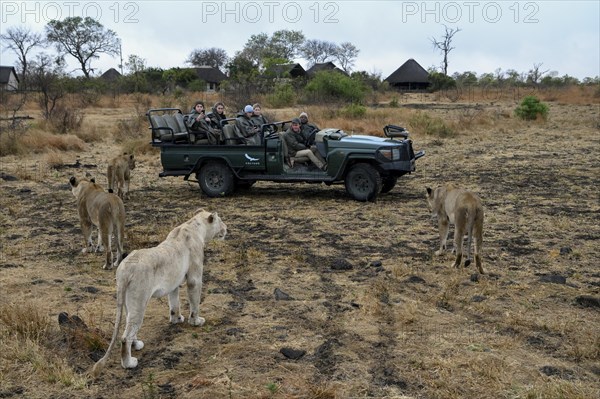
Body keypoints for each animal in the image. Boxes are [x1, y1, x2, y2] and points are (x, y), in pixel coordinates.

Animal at [91, 209, 227, 378]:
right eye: (220, 220)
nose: (226, 228)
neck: (194, 226)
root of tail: (125, 269)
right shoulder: (194, 278)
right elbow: (194, 300)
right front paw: (196, 321)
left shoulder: (173, 281)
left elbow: (174, 302)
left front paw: (177, 319)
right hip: (139, 300)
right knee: (125, 336)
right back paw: (129, 363)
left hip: (128, 303)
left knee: (129, 326)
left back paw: (137, 344)